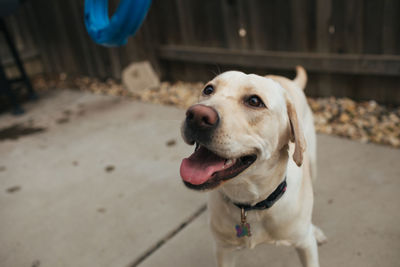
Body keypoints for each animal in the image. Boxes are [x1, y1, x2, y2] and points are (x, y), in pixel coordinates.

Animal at [180, 67, 324, 267]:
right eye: (208, 90)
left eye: (255, 101)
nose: (197, 116)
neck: (251, 204)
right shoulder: (224, 250)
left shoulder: (305, 244)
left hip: (313, 164)